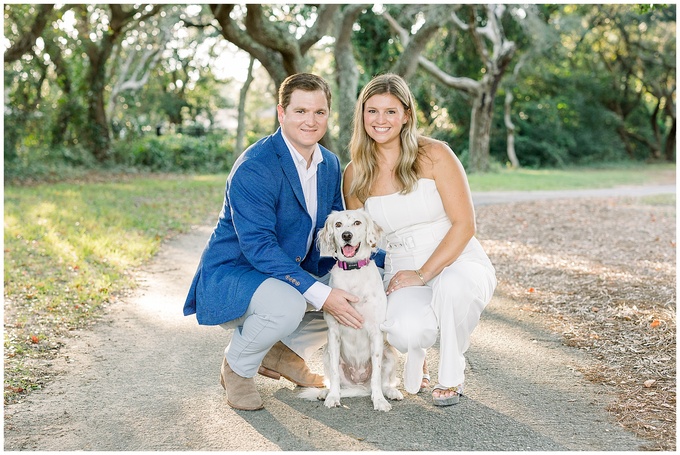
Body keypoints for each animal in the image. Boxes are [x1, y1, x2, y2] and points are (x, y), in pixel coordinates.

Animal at [300, 210, 402, 414]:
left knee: (383, 383)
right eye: (338, 224)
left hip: (390, 353)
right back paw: (326, 392)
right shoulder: (333, 333)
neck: (353, 271)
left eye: (357, 222)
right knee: (336, 381)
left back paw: (390, 392)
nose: (346, 235)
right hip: (326, 354)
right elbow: (334, 375)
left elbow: (377, 374)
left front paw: (379, 401)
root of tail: (360, 384)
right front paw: (333, 397)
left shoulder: (376, 332)